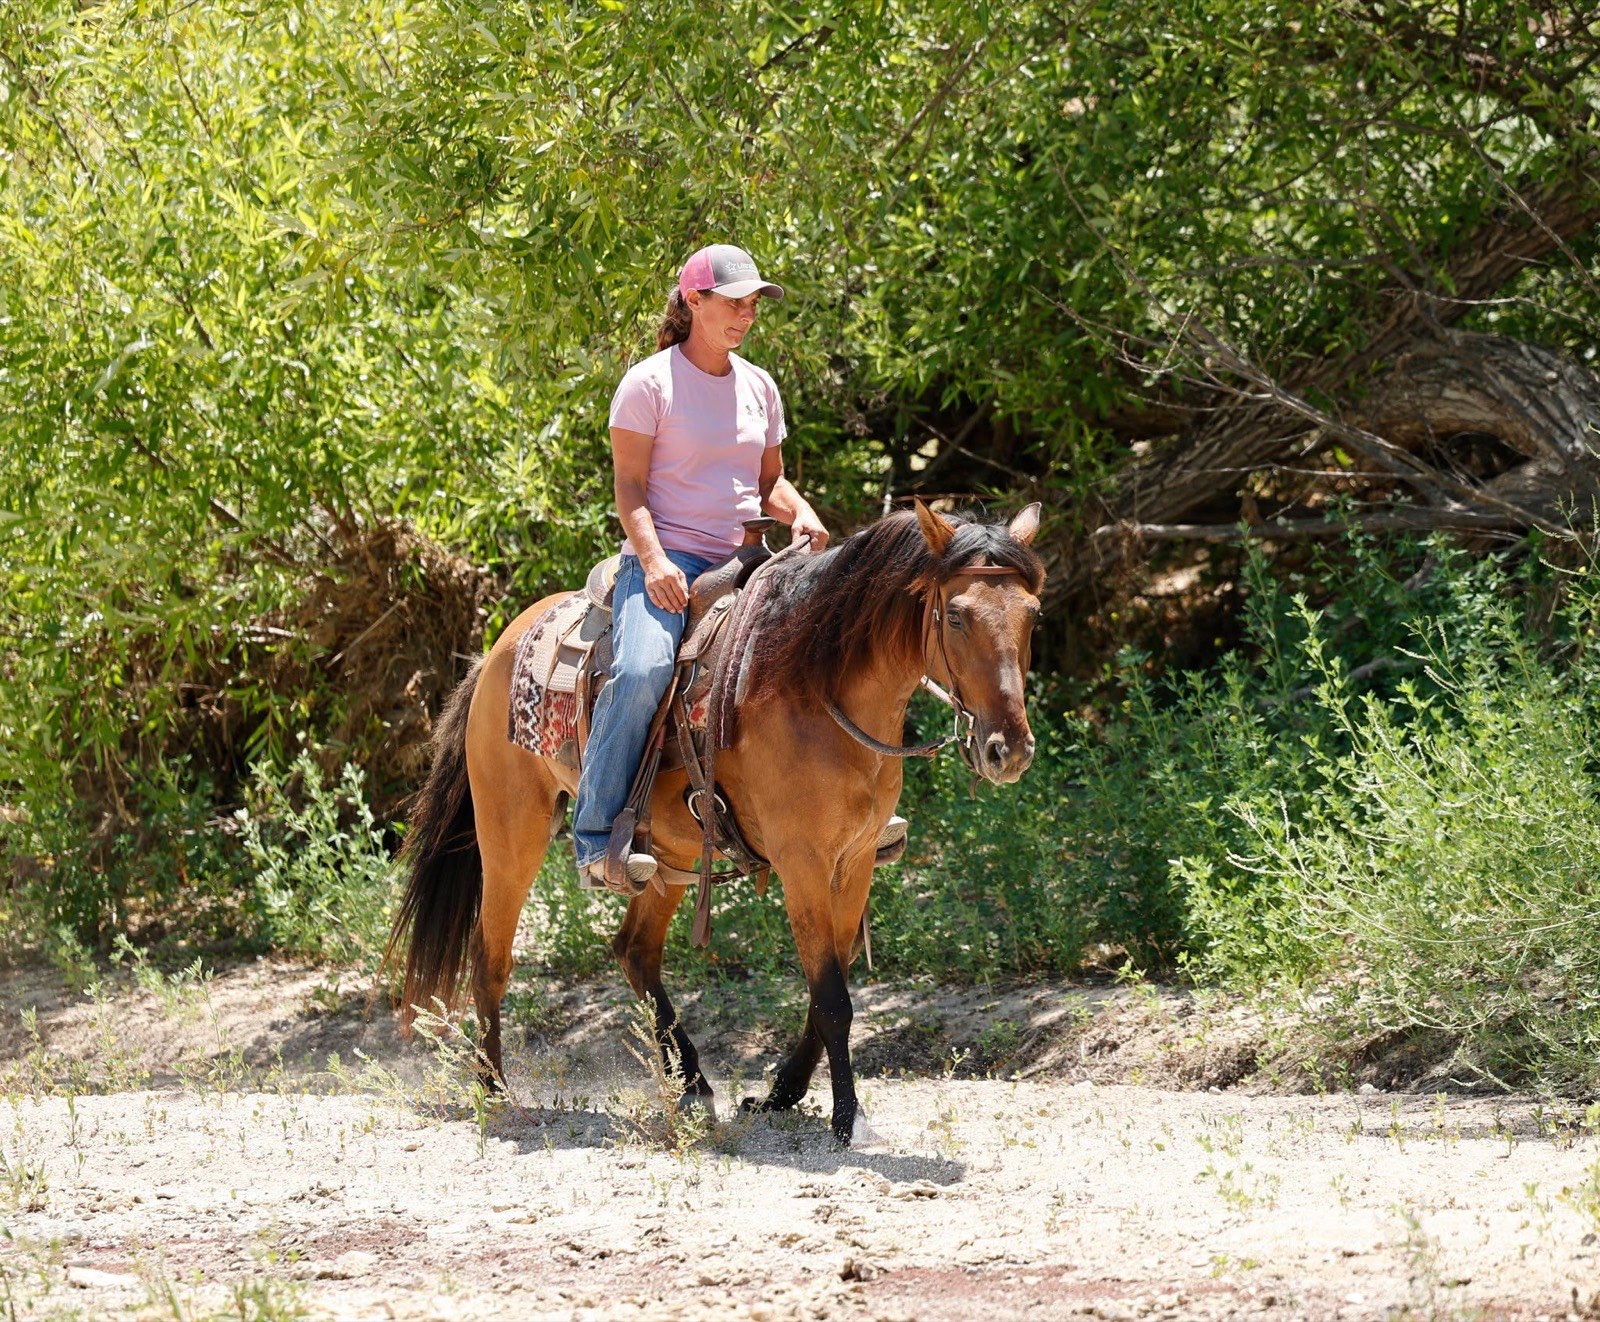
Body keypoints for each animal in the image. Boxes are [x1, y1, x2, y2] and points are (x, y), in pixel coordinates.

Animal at [384, 500, 1045, 1146]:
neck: (815, 683)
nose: (1008, 750)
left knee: (634, 952)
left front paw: (782, 1093)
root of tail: (496, 652)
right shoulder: (803, 863)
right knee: (490, 955)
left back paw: (693, 1085)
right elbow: (832, 997)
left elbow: (827, 986)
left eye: (1032, 614)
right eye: (955, 616)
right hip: (511, 832)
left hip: (668, 856)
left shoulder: (855, 861)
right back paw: (494, 1089)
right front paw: (847, 1117)